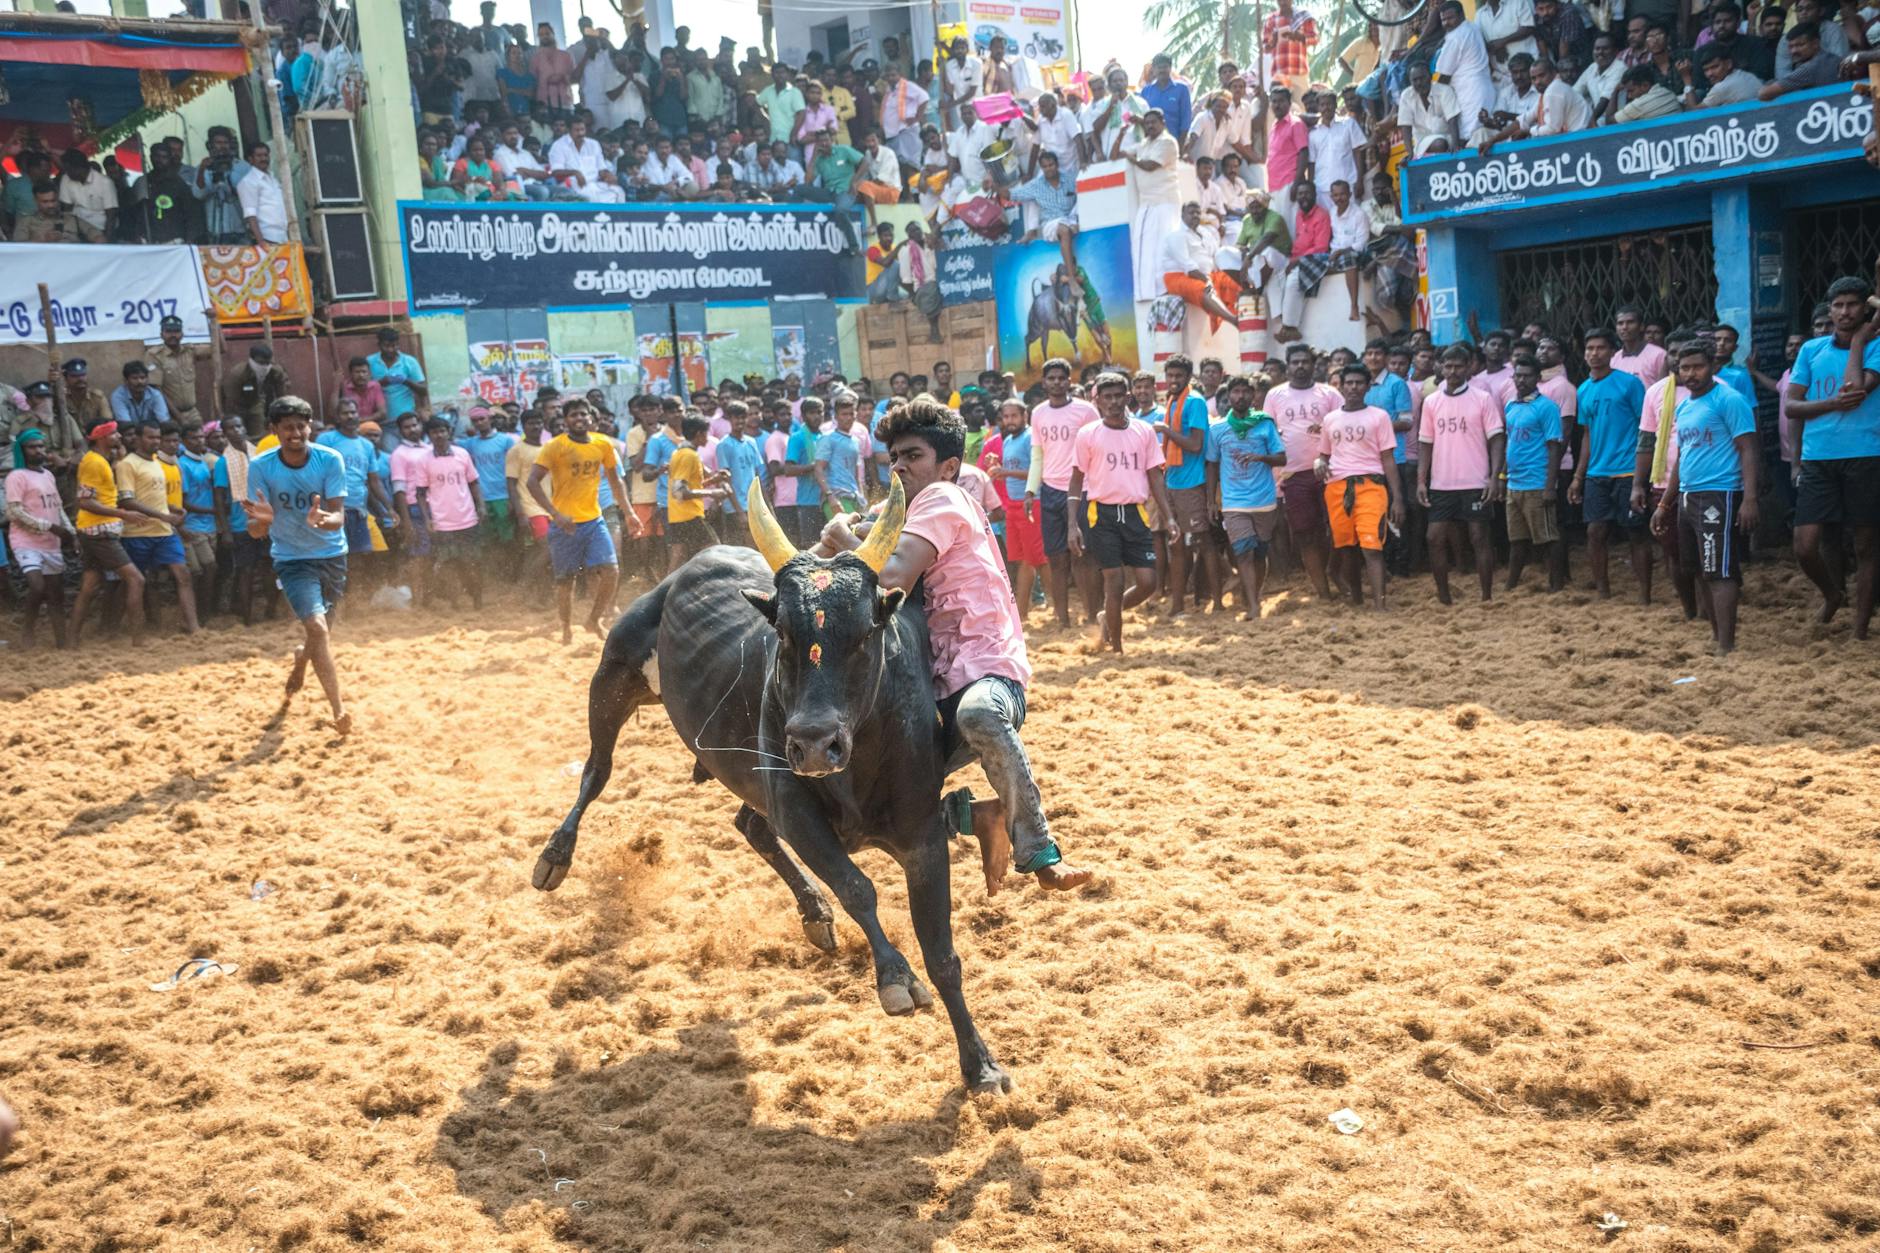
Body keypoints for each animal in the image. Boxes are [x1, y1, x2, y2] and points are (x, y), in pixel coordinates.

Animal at [530, 479, 1015, 1091]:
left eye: (865, 634)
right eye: (782, 631)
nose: (812, 742)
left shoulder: (923, 835)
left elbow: (942, 952)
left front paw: (981, 1064)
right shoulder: (795, 809)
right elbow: (858, 887)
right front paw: (895, 978)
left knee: (749, 825)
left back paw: (813, 913)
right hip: (613, 678)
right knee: (596, 772)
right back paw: (554, 856)